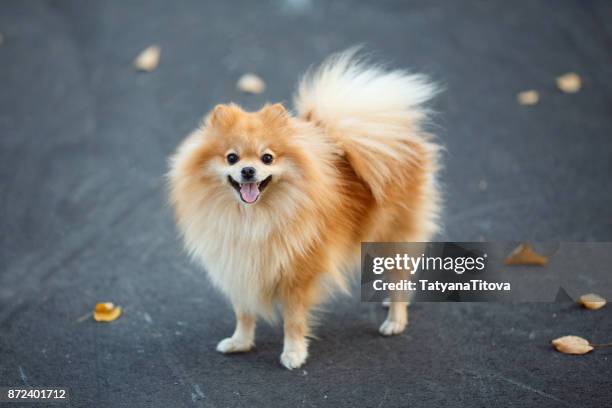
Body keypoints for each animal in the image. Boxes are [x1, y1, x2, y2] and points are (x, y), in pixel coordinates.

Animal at [170, 49, 442, 368]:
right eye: (232, 157)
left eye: (267, 157)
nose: (248, 170)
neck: (252, 219)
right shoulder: (240, 268)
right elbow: (244, 312)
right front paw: (240, 342)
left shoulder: (297, 275)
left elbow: (293, 320)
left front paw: (294, 353)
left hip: (391, 236)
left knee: (399, 278)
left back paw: (395, 321)